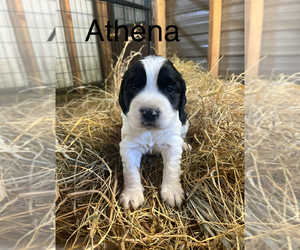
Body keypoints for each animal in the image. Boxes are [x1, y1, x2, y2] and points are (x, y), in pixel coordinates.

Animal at [118, 55, 190, 209]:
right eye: (133, 87)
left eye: (169, 89)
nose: (150, 112)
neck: (151, 131)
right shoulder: (129, 146)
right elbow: (131, 171)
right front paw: (132, 195)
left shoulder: (171, 145)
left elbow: (172, 167)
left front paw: (173, 191)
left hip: (185, 121)